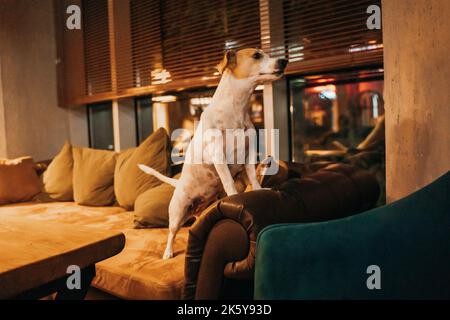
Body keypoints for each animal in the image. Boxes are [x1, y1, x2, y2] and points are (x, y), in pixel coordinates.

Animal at [139, 48, 288, 258]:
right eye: (256, 55)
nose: (284, 61)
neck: (236, 109)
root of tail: (179, 184)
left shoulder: (249, 153)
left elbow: (252, 176)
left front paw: (259, 189)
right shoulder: (218, 156)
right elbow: (228, 182)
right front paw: (234, 197)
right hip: (177, 212)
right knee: (171, 233)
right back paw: (168, 252)